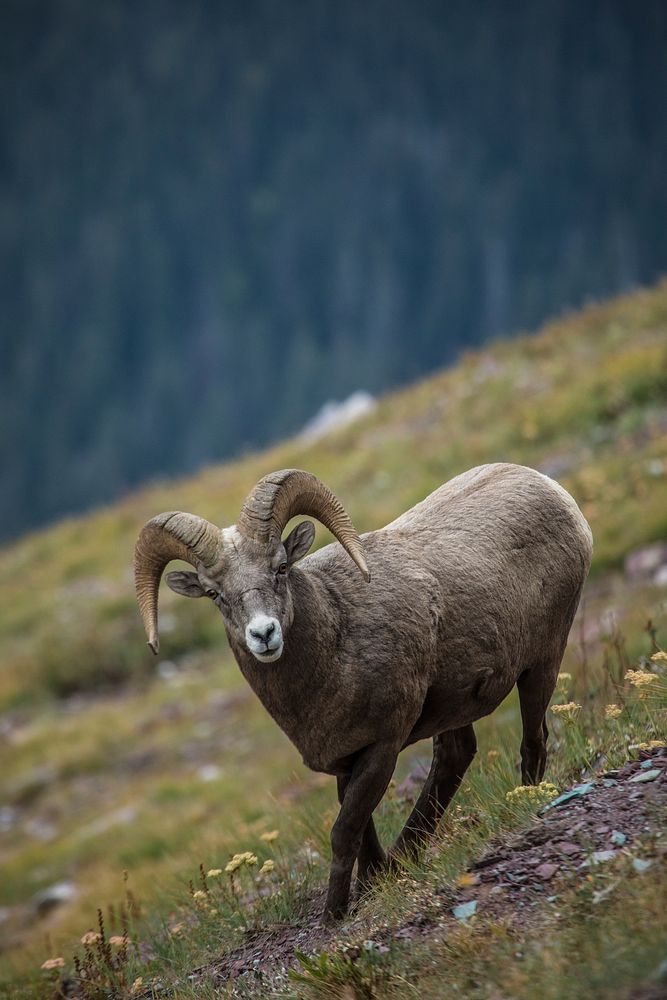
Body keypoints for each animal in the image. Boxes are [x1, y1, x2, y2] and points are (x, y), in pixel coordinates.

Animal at [133, 464, 592, 916]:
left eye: (280, 567)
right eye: (214, 593)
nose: (264, 634)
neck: (337, 641)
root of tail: (548, 487)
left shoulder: (381, 749)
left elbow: (344, 831)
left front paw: (335, 914)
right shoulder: (346, 759)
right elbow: (361, 830)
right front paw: (374, 883)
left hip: (541, 664)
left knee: (532, 740)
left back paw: (523, 798)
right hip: (455, 705)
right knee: (455, 756)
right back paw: (406, 854)